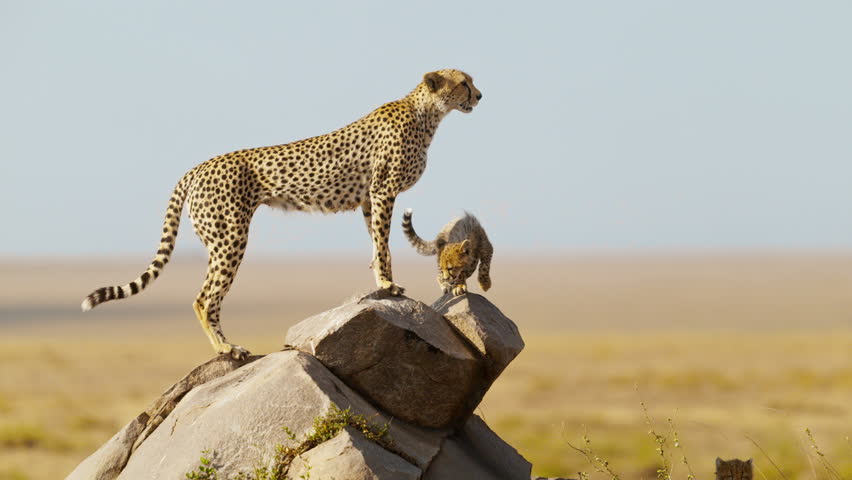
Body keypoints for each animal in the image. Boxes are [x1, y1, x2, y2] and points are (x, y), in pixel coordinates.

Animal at [80, 69, 482, 359]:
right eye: (464, 82)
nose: (480, 95)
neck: (427, 114)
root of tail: (198, 167)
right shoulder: (383, 190)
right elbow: (383, 245)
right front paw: (388, 284)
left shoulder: (369, 199)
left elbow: (375, 241)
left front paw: (379, 280)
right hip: (230, 237)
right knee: (204, 297)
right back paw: (226, 347)